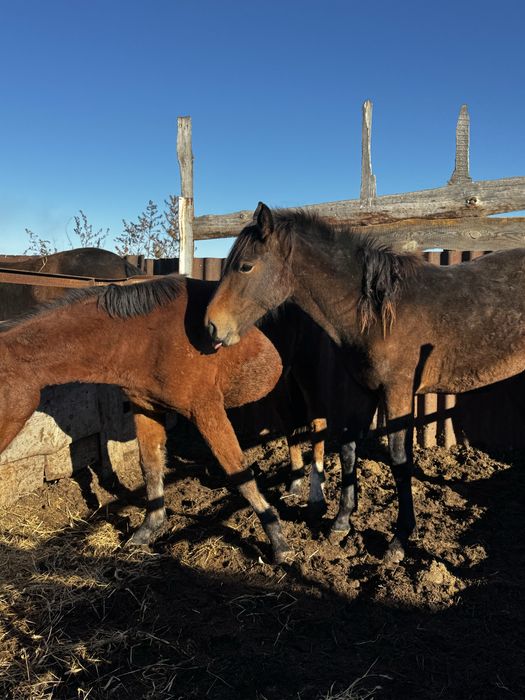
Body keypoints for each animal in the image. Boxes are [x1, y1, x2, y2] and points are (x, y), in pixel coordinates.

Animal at [0, 274, 294, 563]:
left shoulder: (207, 409)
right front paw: (146, 531)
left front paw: (278, 541)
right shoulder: (145, 408)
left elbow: (238, 471)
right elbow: (150, 467)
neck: (144, 337)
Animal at [205, 202, 525, 563]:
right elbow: (348, 449)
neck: (378, 314)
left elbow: (399, 460)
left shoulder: (397, 392)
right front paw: (341, 523)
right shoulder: (363, 390)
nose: (212, 326)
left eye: (245, 266)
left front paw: (399, 540)